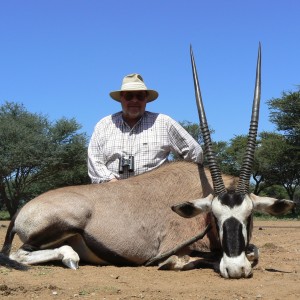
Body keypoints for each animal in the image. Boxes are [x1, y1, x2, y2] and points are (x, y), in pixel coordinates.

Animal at [0, 44, 296, 278]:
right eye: (214, 217)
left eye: (249, 216)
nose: (236, 270)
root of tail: (22, 210)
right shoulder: (174, 247)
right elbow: (188, 258)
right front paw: (175, 263)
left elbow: (254, 251)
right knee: (20, 254)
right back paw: (70, 258)